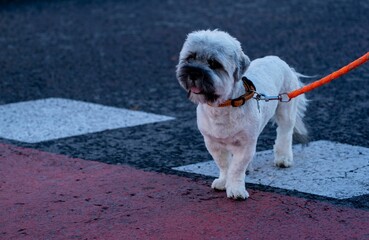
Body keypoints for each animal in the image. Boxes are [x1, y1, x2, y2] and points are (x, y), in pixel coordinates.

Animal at [175, 29, 308, 199]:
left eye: (214, 64)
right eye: (190, 57)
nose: (193, 72)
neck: (224, 105)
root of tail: (278, 60)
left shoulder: (245, 144)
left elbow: (236, 168)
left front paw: (236, 189)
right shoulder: (212, 143)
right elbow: (224, 165)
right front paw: (223, 182)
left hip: (286, 109)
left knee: (284, 133)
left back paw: (283, 159)